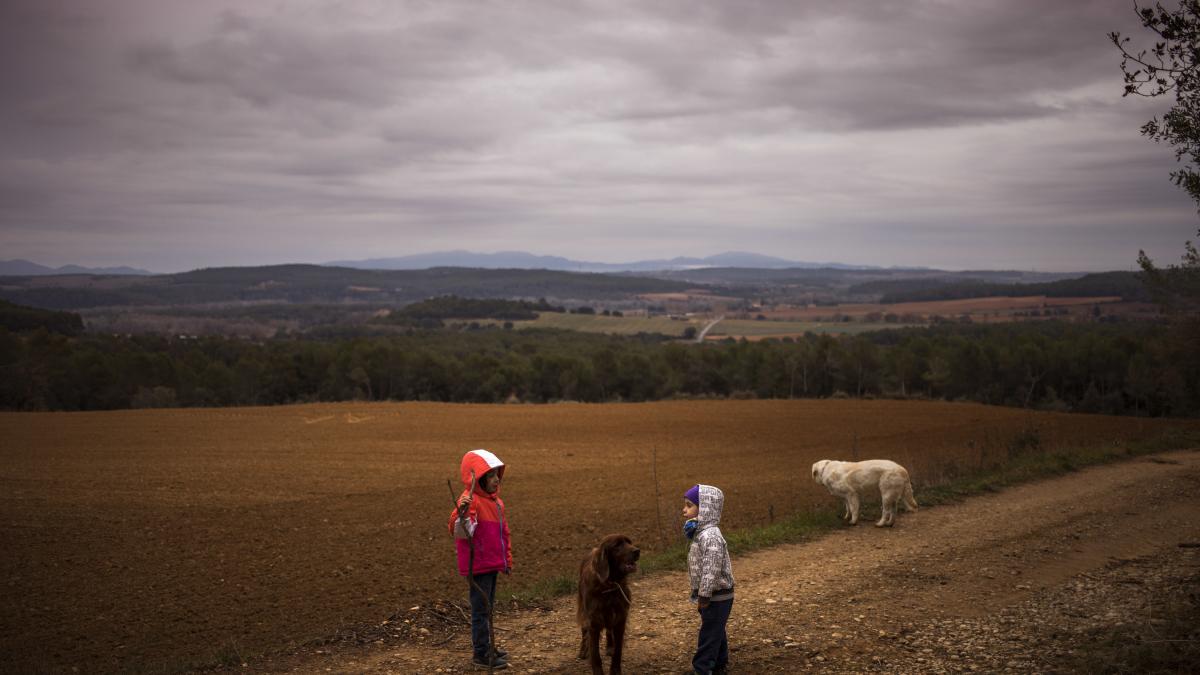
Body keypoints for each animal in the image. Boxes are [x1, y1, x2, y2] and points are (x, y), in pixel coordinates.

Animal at [578, 533, 643, 667]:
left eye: (629, 542)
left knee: (608, 630)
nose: (637, 551)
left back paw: (609, 647)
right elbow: (596, 658)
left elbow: (617, 654)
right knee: (584, 629)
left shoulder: (620, 618)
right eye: (617, 545)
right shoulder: (593, 622)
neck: (609, 585)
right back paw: (583, 651)